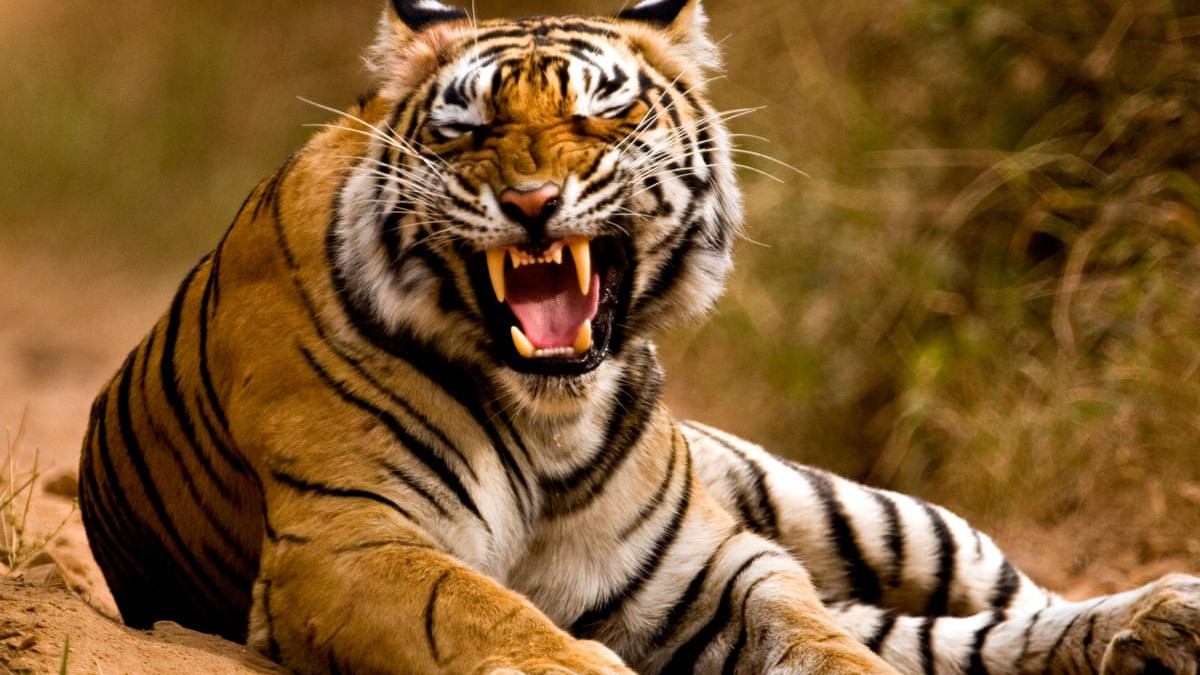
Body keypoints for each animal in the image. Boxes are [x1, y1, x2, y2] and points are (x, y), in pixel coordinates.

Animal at [78, 0, 1200, 673]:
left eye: (601, 119)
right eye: (468, 130)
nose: (532, 202)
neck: (547, 417)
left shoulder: (705, 566)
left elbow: (822, 637)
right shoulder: (351, 542)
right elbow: (485, 614)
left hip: (854, 509)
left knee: (997, 595)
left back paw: (1162, 613)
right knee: (941, 636)